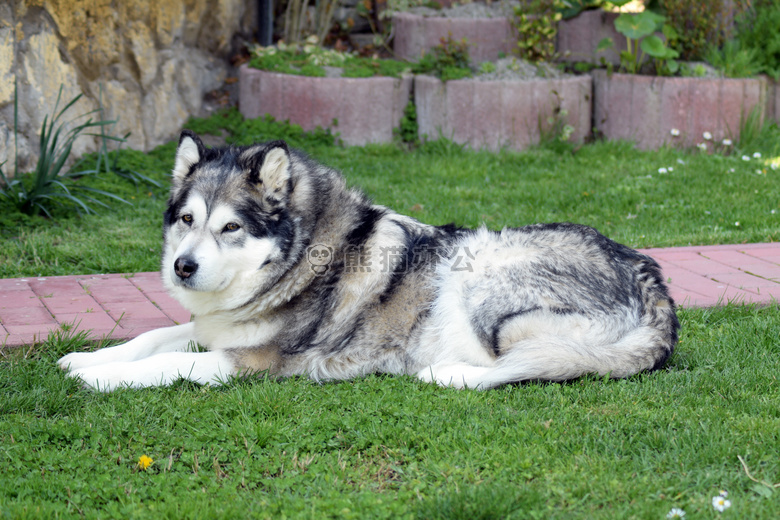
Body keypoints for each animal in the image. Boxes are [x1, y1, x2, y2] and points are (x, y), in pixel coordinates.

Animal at [56, 130, 676, 390]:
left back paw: (446, 373)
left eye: (230, 227)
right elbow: (153, 337)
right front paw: (87, 358)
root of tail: (656, 289)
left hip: (480, 275)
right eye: (187, 220)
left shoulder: (255, 361)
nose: (182, 267)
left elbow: (167, 363)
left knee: (525, 366)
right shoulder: (215, 328)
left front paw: (101, 378)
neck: (297, 263)